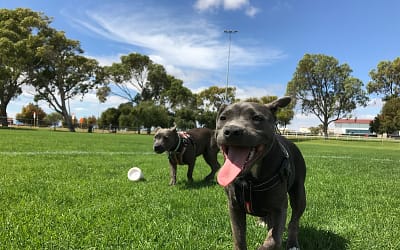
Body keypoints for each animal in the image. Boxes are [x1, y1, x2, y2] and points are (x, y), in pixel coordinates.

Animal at [216, 96, 306, 250]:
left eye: (257, 118)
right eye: (223, 118)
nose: (232, 130)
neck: (250, 179)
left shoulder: (279, 208)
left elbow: (273, 240)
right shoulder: (234, 207)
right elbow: (238, 238)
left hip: (299, 194)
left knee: (294, 221)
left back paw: (293, 243)